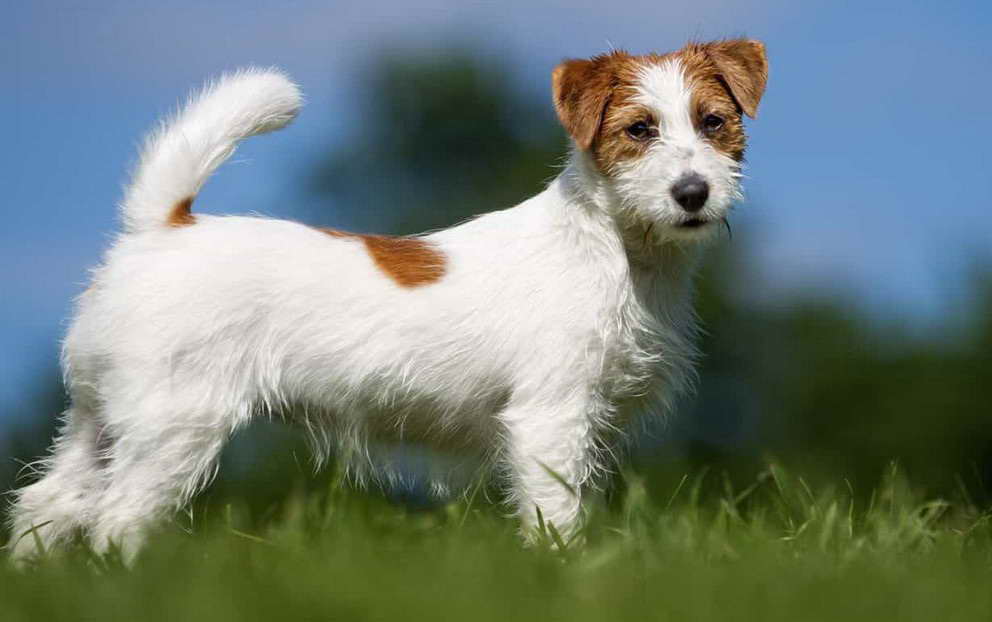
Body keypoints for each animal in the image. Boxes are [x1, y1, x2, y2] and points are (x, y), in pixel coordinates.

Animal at [5, 40, 768, 564]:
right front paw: (564, 570)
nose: (693, 194)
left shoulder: (590, 424)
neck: (615, 247)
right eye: (639, 130)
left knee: (49, 502)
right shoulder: (551, 418)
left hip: (100, 418)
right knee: (117, 517)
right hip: (174, 424)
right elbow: (555, 511)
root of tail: (160, 227)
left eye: (714, 122)